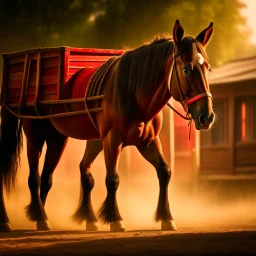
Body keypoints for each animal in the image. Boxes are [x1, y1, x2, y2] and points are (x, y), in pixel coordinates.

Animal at [0, 20, 214, 232]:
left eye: (207, 68)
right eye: (186, 69)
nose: (207, 116)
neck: (132, 91)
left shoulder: (148, 142)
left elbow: (165, 172)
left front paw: (166, 217)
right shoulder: (112, 140)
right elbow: (113, 179)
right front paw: (115, 219)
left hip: (58, 138)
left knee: (54, 177)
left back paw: (46, 218)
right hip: (35, 135)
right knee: (34, 178)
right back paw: (17, 220)